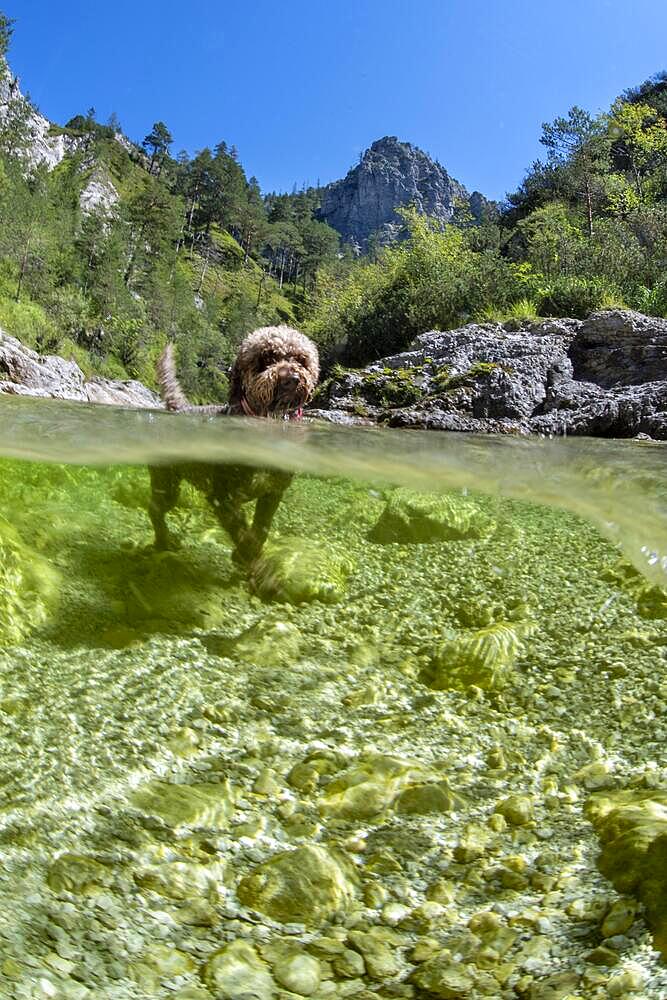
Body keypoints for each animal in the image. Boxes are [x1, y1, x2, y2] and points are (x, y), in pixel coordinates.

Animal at [149, 324, 320, 568]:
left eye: (301, 359)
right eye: (267, 358)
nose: (292, 379)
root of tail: (178, 409)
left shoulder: (273, 491)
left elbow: (262, 527)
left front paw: (249, 553)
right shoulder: (223, 495)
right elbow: (239, 528)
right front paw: (252, 561)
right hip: (167, 482)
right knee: (155, 508)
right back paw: (164, 539)